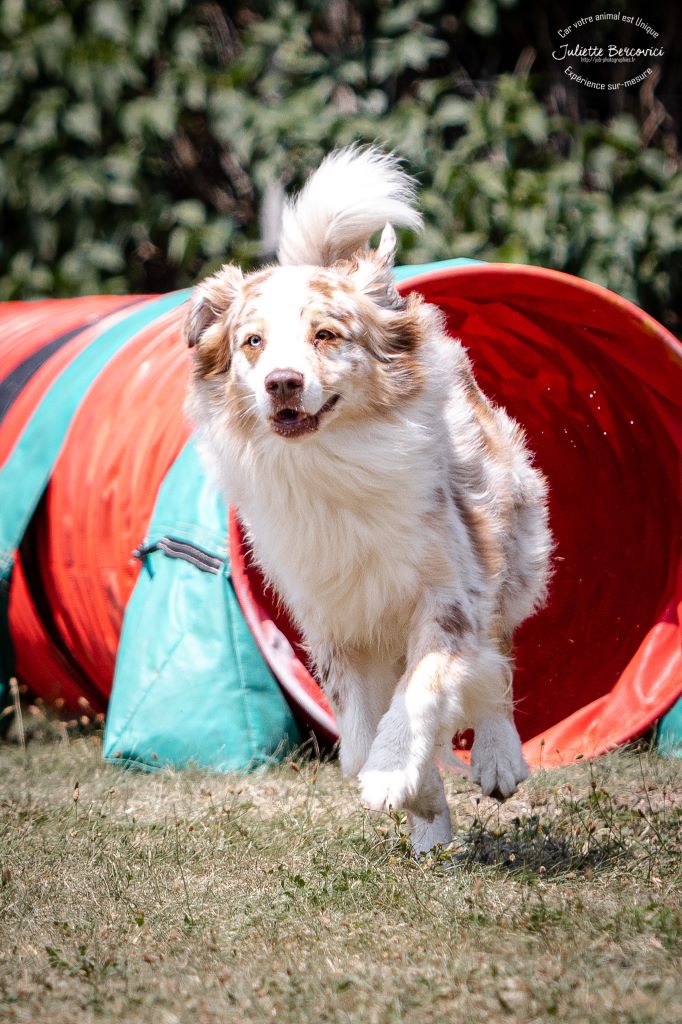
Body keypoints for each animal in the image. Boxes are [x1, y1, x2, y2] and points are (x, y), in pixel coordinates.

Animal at [183, 148, 548, 851]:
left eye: (326, 336)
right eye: (252, 342)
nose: (282, 383)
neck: (329, 465)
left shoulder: (447, 595)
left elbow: (421, 688)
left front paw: (391, 774)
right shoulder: (332, 621)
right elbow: (356, 735)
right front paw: (422, 799)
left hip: (511, 550)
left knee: (501, 658)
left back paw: (498, 759)